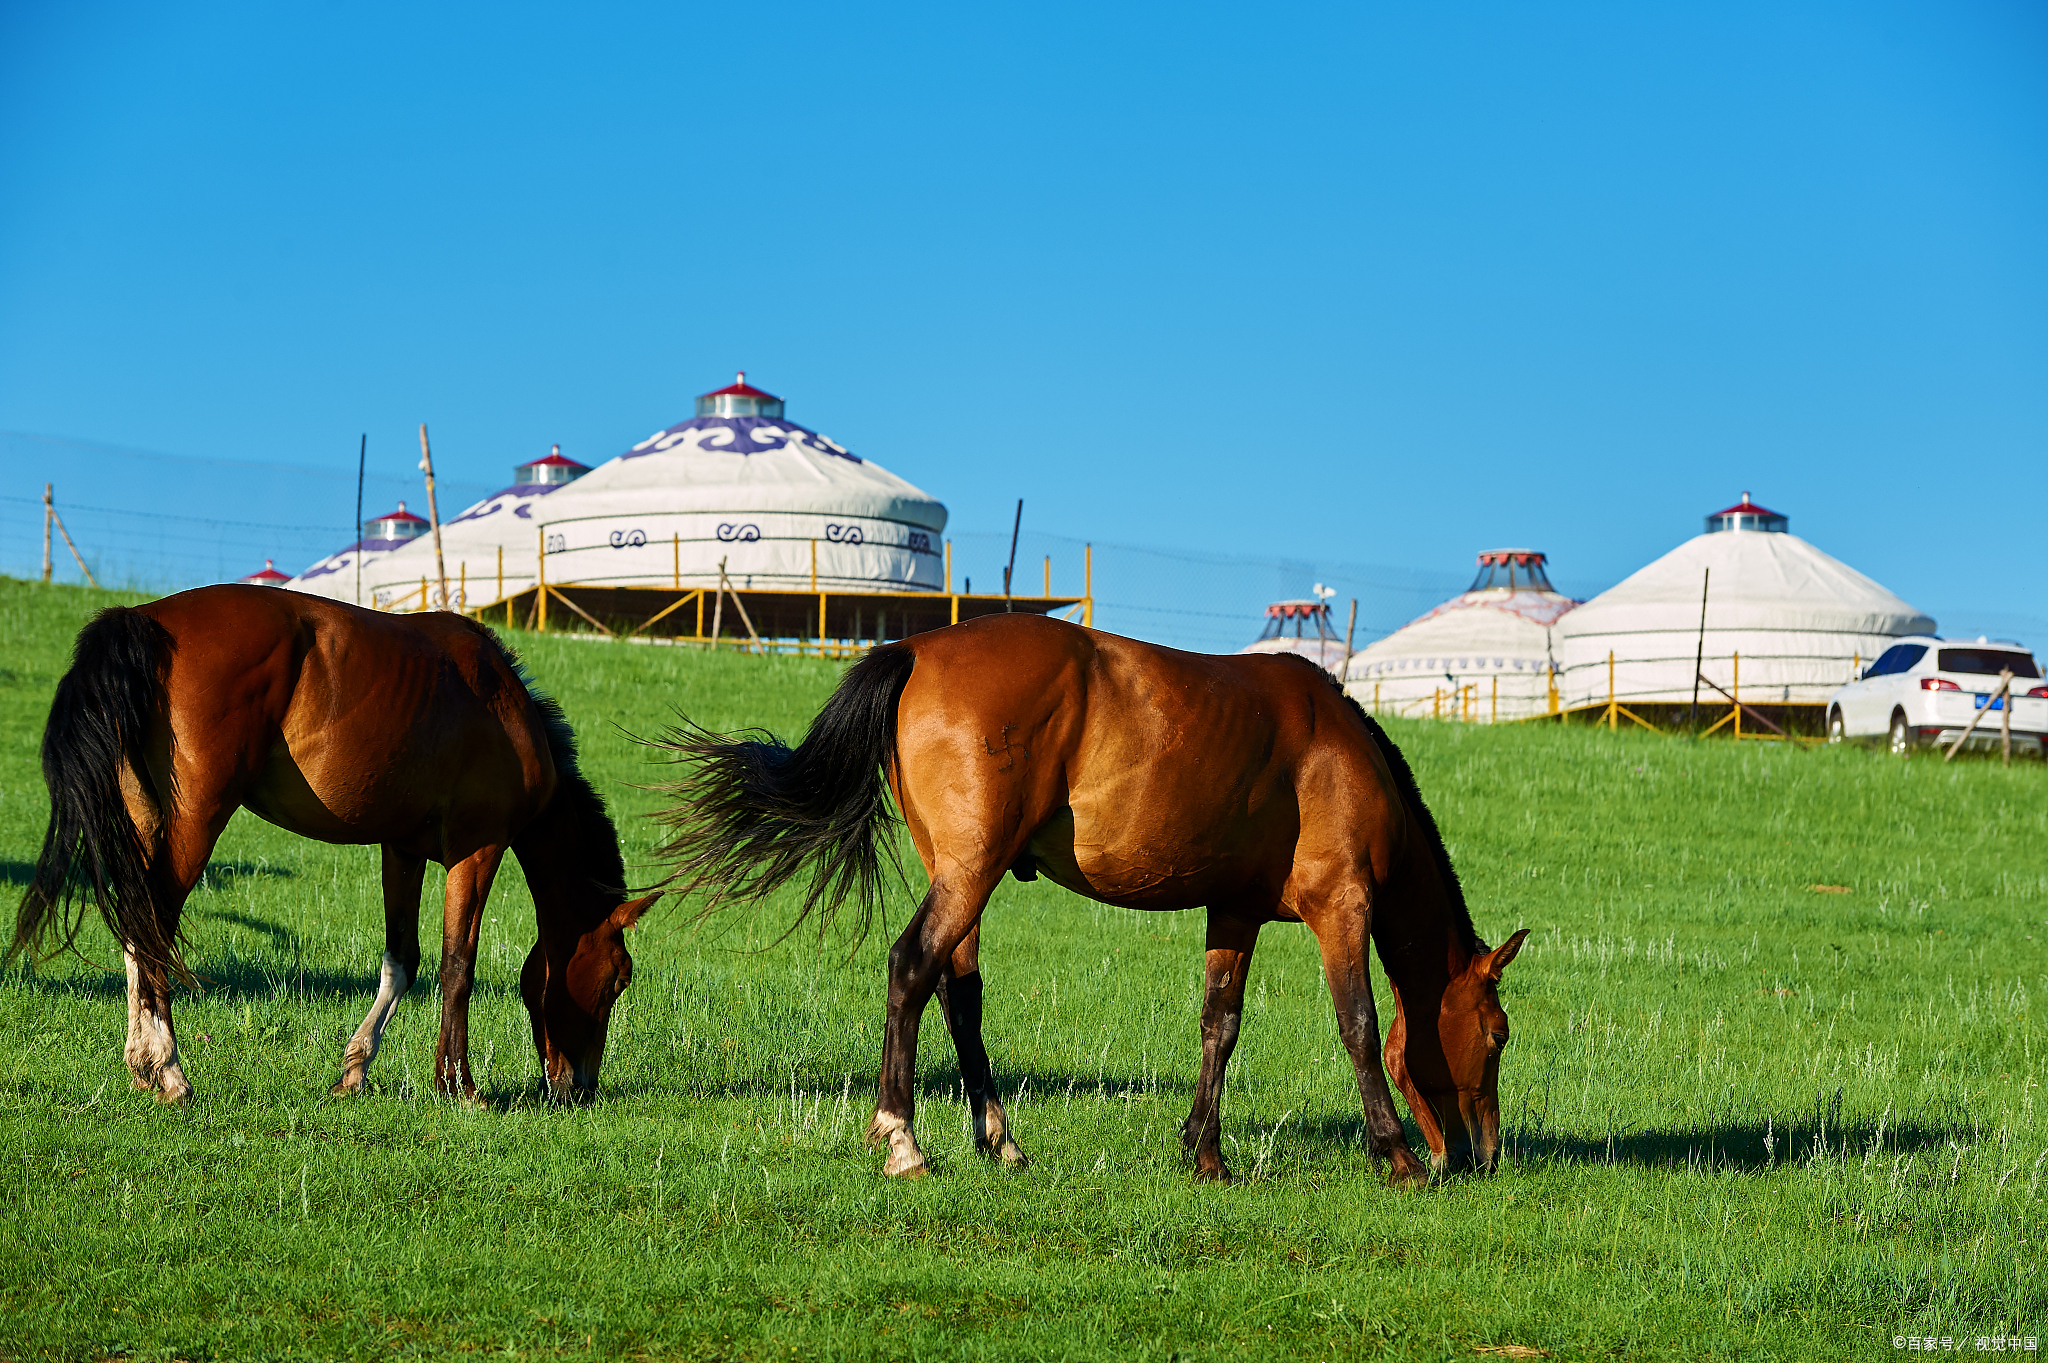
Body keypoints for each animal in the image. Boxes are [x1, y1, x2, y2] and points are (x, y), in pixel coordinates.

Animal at [8, 585, 659, 1105]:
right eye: (618, 979)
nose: (579, 1087)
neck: (500, 703)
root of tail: (144, 619)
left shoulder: (402, 849)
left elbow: (403, 961)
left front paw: (357, 1068)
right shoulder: (478, 849)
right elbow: (458, 965)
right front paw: (458, 1085)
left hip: (145, 822)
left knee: (135, 925)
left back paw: (142, 1065)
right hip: (196, 820)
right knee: (154, 927)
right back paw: (168, 1069)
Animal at [663, 609, 1531, 1186]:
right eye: (1497, 1034)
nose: (1482, 1154)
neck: (1337, 749)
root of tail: (914, 647)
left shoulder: (1235, 912)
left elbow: (1220, 1026)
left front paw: (1204, 1151)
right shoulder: (1342, 909)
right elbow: (1358, 1025)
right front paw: (1395, 1151)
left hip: (963, 873)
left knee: (958, 991)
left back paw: (1000, 1137)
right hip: (971, 870)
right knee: (912, 966)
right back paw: (904, 1137)